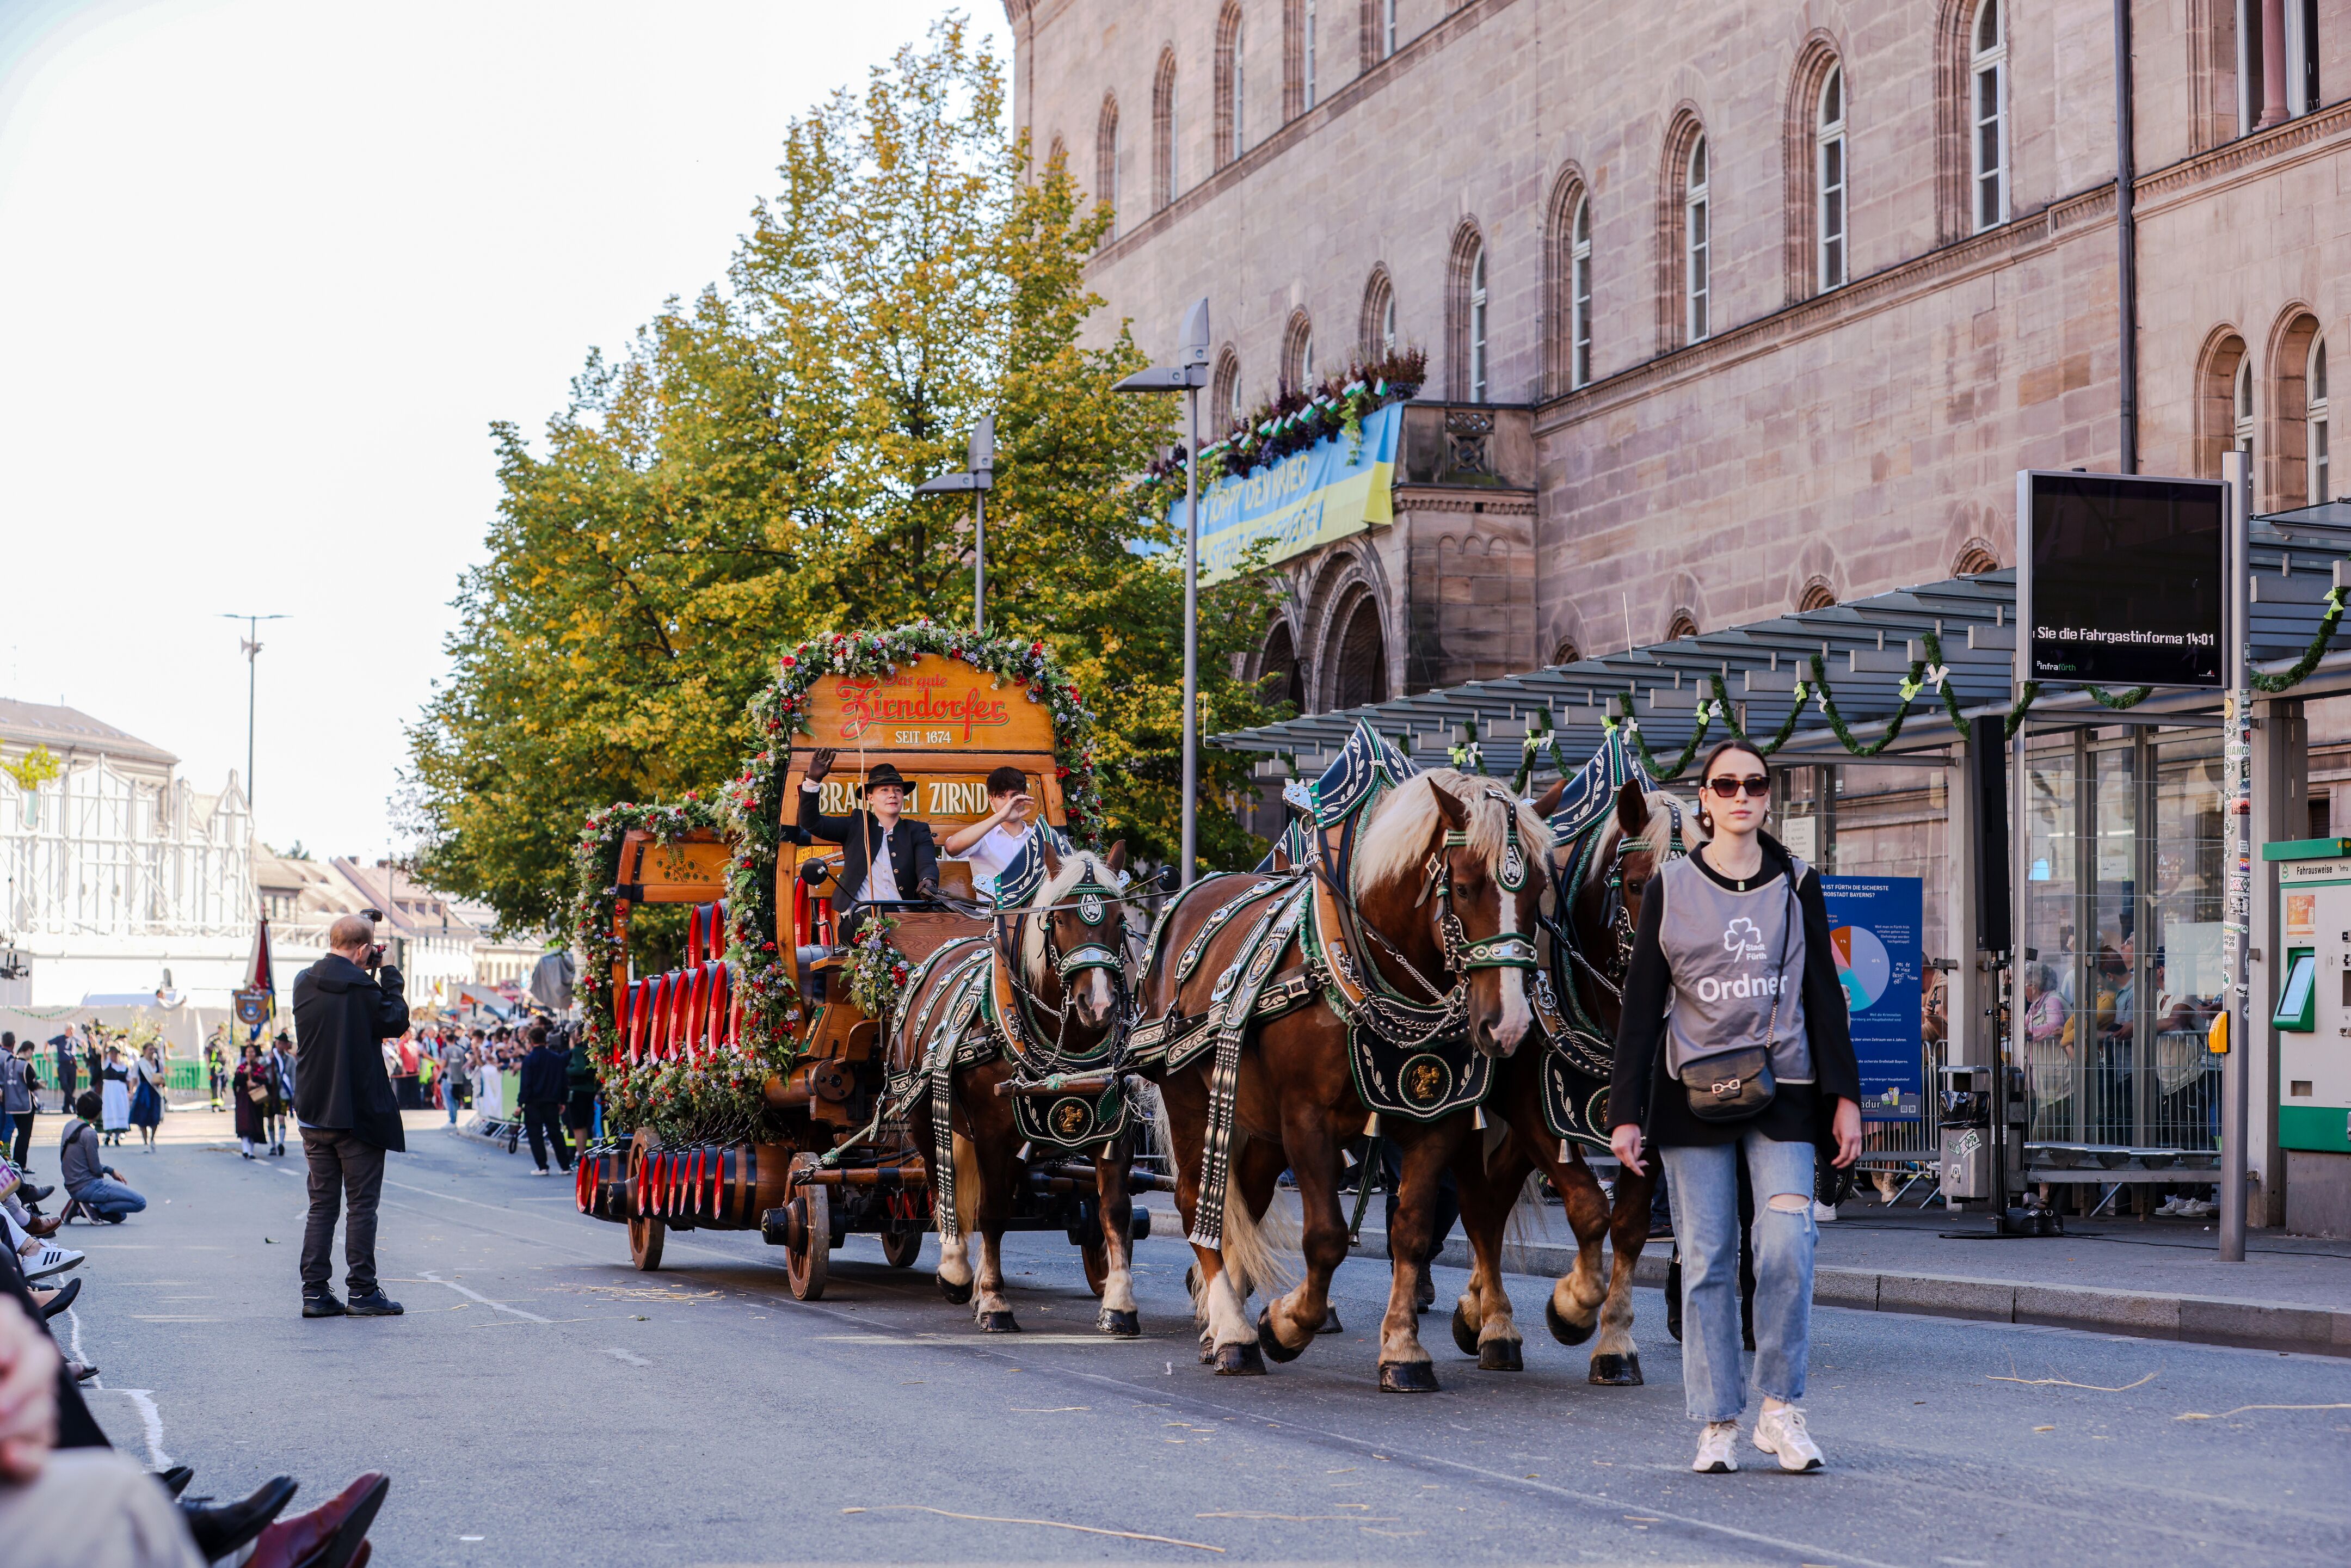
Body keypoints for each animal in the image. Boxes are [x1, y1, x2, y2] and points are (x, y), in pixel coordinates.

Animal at [885, 838, 1148, 1336]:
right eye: (1059, 919)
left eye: (1119, 919)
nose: (1099, 1005)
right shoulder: (993, 1134)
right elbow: (992, 1212)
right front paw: (992, 1300)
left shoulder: (1115, 1127)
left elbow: (1116, 1210)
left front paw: (1120, 1304)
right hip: (921, 1111)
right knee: (939, 1180)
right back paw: (955, 1271)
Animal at [1136, 769, 1554, 1391]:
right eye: (1465, 886)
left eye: (1539, 890)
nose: (1508, 1026)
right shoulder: (1306, 1119)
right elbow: (1327, 1236)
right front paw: (1284, 1325)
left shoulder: (1437, 1120)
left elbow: (1411, 1231)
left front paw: (1403, 1350)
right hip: (1189, 1098)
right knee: (1194, 1204)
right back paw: (1233, 1333)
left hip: (1258, 1126)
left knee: (1246, 1201)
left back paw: (1219, 1324)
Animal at [1446, 777, 1691, 1384]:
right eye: (1636, 884)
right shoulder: (1532, 1106)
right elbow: (1586, 1206)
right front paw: (1574, 1304)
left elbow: (1628, 1223)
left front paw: (1616, 1342)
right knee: (1480, 1206)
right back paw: (1495, 1326)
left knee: (1496, 1197)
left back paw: (1477, 1309)